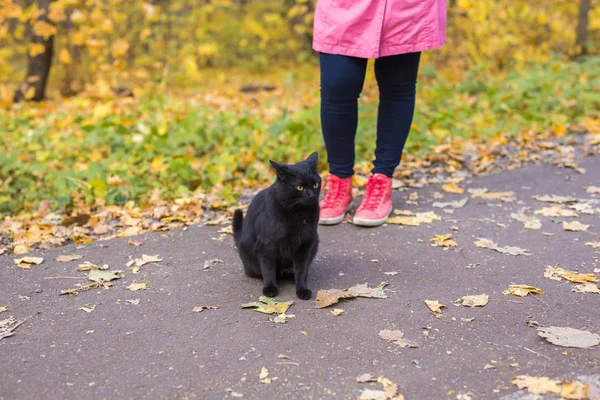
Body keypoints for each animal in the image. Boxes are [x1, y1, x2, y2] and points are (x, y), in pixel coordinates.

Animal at [232, 153, 322, 300]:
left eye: (315, 184)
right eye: (300, 188)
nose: (311, 195)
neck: (297, 213)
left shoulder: (305, 245)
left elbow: (301, 269)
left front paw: (302, 289)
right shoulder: (267, 245)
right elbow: (268, 269)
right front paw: (270, 288)